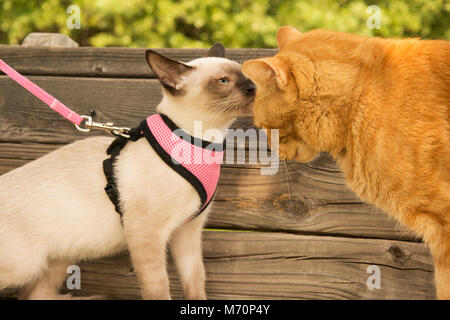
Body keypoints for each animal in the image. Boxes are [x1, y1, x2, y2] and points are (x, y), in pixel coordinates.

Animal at [0, 43, 255, 300]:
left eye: (245, 76)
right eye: (223, 81)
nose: (253, 87)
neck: (203, 142)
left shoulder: (187, 232)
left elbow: (195, 283)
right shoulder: (146, 234)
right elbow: (159, 289)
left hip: (60, 258)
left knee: (34, 295)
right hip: (24, 266)